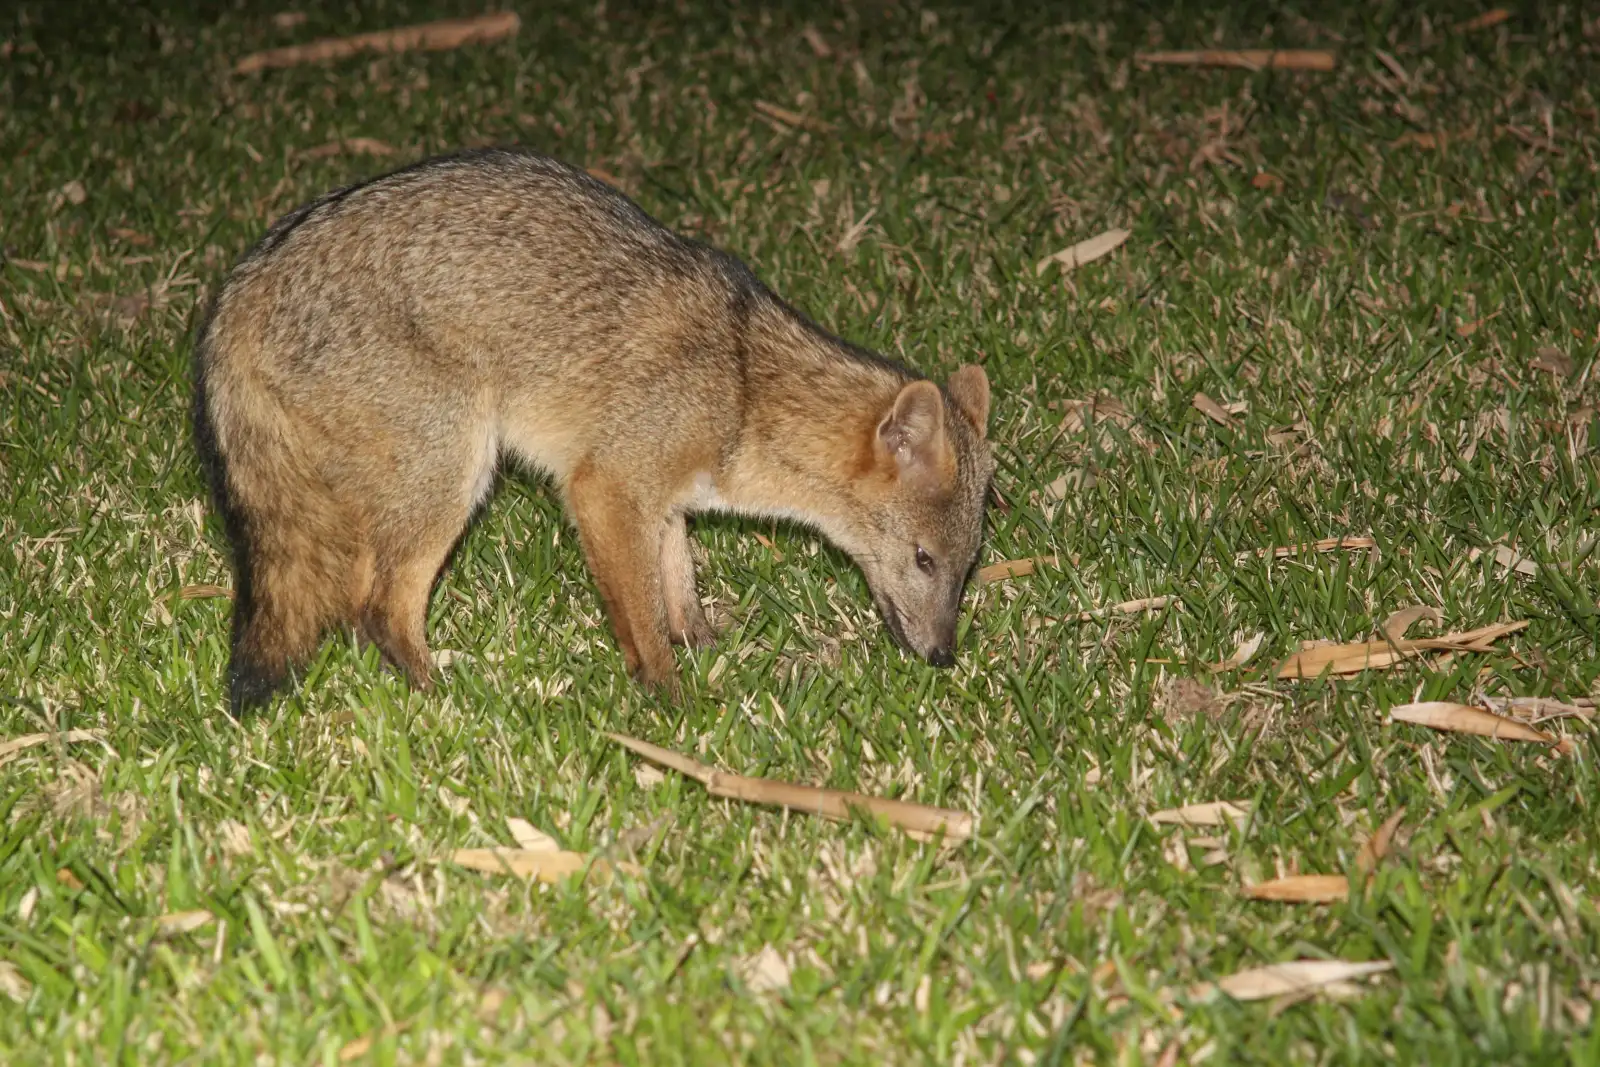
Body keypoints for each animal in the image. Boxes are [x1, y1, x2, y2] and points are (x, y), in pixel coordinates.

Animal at [193, 147, 996, 714]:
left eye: (966, 569)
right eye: (925, 561)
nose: (943, 657)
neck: (744, 387)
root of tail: (243, 283)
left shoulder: (661, 497)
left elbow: (678, 583)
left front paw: (703, 644)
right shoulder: (604, 488)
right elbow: (641, 619)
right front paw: (671, 701)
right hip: (458, 472)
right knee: (376, 607)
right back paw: (447, 702)